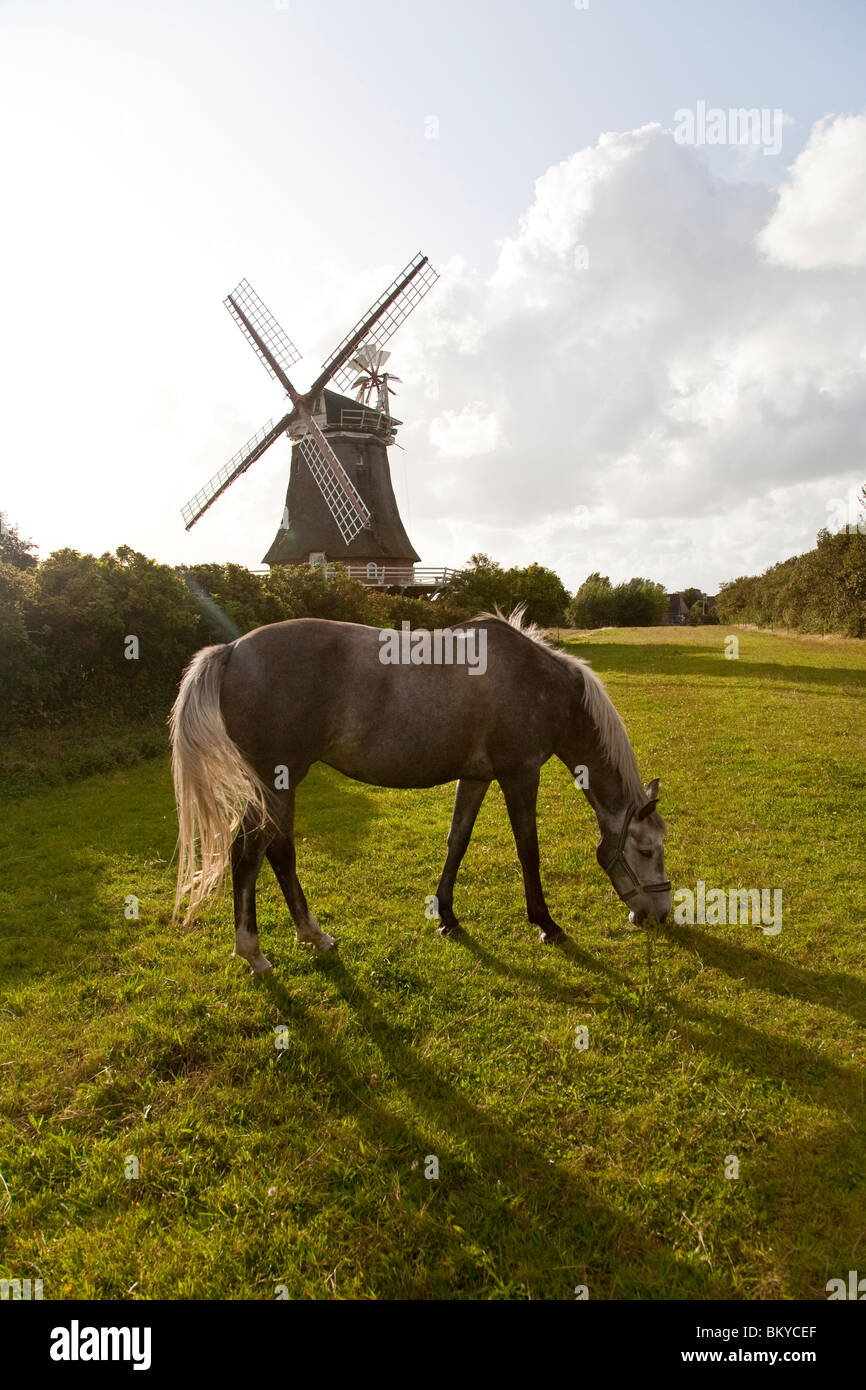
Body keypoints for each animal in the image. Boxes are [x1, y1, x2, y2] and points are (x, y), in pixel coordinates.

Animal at [169, 608, 670, 978]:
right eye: (646, 850)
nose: (660, 915)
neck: (540, 683)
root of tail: (233, 650)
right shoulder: (520, 775)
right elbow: (528, 851)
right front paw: (546, 924)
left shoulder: (476, 778)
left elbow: (458, 841)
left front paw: (447, 916)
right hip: (278, 780)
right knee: (248, 854)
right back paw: (254, 953)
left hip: (281, 785)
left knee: (279, 852)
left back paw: (313, 935)